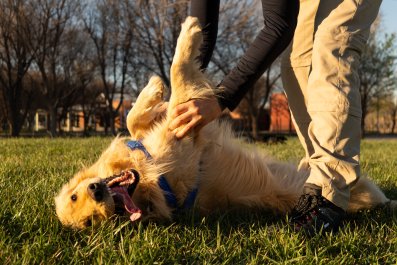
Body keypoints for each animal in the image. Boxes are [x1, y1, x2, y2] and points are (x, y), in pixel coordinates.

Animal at [54, 16, 394, 228]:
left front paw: (153, 89)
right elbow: (179, 75)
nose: (97, 192)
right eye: (93, 221)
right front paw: (189, 32)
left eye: (75, 195)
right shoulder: (180, 137)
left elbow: (134, 117)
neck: (145, 177)